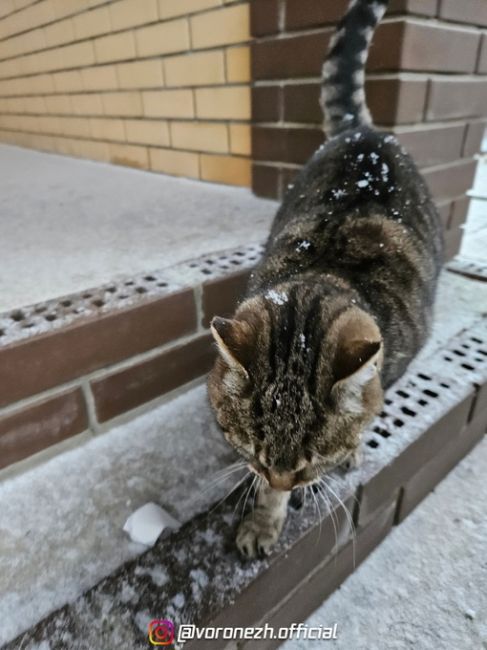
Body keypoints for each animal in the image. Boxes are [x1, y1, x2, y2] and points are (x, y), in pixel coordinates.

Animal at [208, 0, 444, 556]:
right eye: (253, 448)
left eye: (310, 460)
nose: (277, 478)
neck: (323, 277)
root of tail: (363, 131)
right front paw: (264, 516)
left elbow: (370, 409)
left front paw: (348, 452)